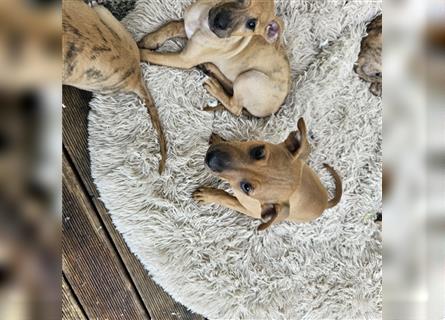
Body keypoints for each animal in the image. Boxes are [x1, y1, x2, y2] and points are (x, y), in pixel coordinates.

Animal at [139, 0, 292, 117]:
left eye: (251, 24)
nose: (220, 22)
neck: (202, 21)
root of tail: (275, 109)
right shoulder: (186, 27)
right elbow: (170, 26)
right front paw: (150, 39)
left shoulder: (184, 59)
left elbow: (153, 55)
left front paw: (136, 51)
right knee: (230, 86)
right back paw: (210, 68)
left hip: (249, 78)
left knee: (235, 107)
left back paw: (214, 86)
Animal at [193, 117, 342, 230]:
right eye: (258, 152)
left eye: (246, 187)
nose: (210, 158)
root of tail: (325, 203)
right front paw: (219, 139)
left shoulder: (249, 209)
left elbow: (226, 198)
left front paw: (207, 195)